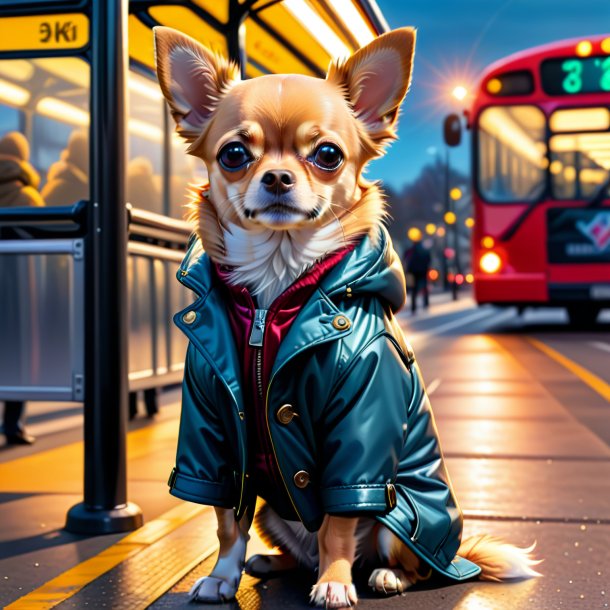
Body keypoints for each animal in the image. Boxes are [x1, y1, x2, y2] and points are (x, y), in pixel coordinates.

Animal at [154, 26, 540, 604]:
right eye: (234, 154)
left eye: (328, 155)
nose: (277, 177)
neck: (274, 289)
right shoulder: (215, 429)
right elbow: (226, 520)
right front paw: (223, 577)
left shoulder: (358, 438)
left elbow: (338, 519)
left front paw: (334, 585)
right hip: (273, 511)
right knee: (297, 551)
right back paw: (273, 562)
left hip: (396, 513)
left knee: (393, 557)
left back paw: (378, 575)